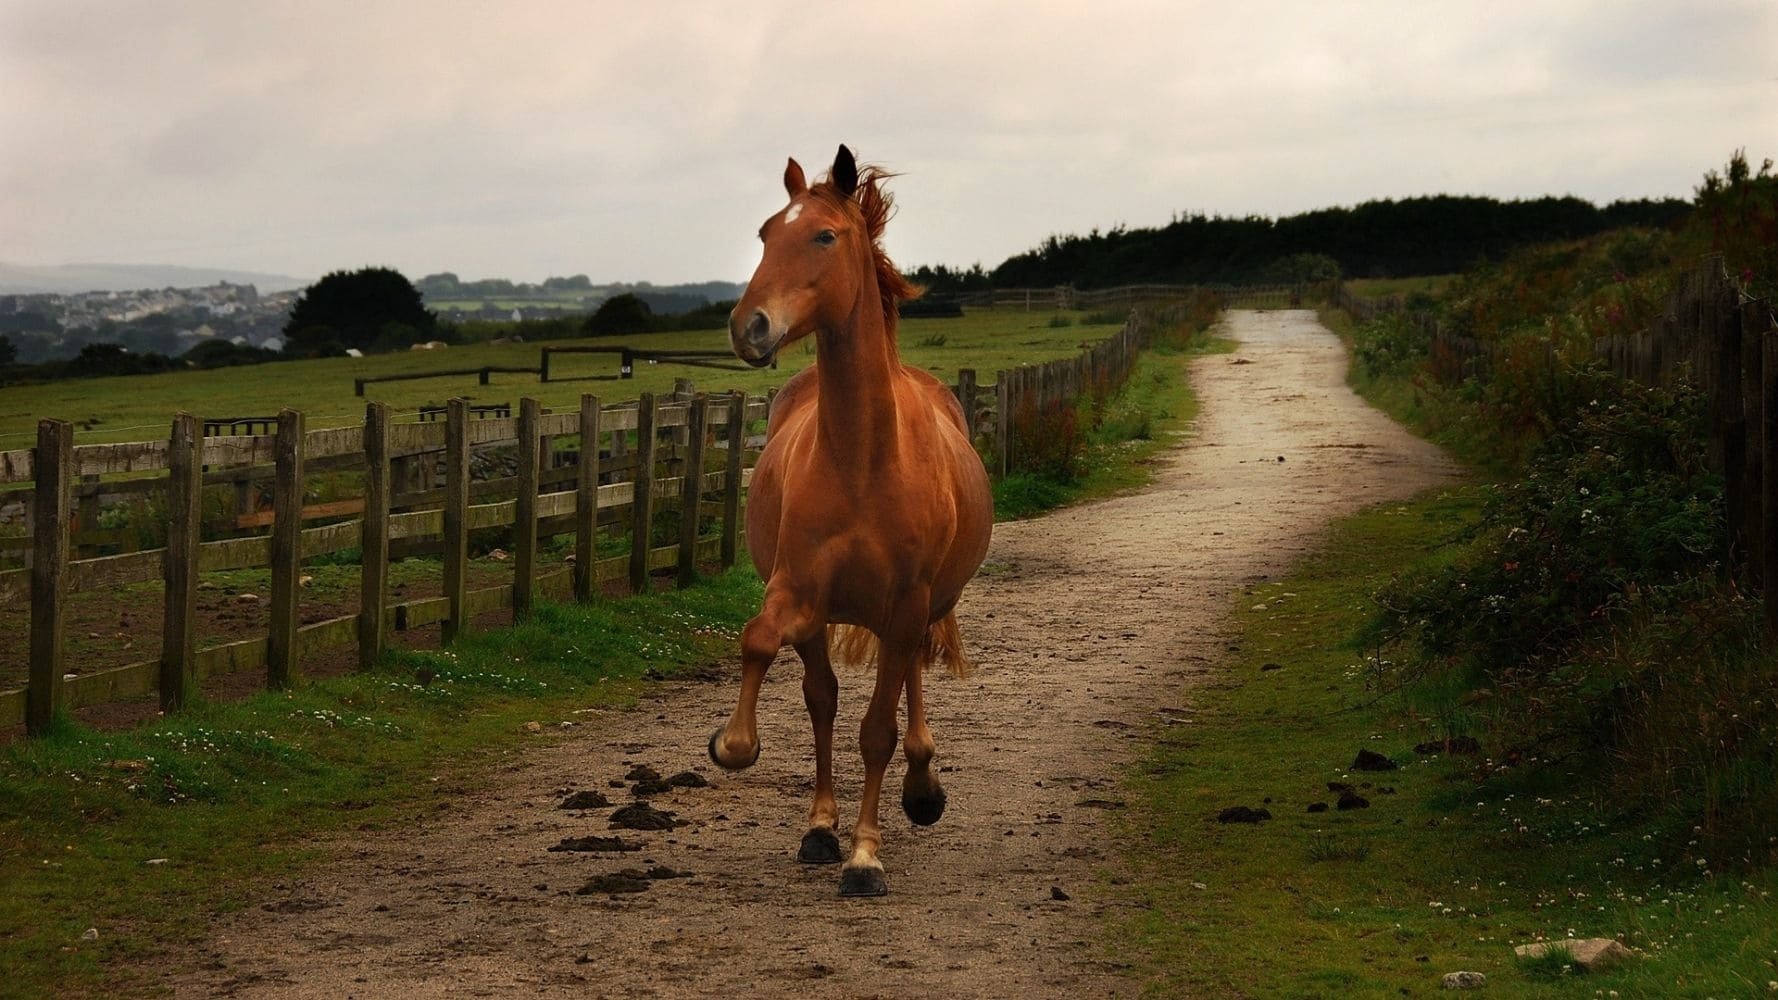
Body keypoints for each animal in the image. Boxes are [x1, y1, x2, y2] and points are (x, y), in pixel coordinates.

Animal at [707, 142, 995, 896]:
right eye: (765, 234)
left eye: (824, 236)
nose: (749, 327)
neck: (865, 459)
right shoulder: (797, 589)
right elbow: (763, 644)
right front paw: (736, 745)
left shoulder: (905, 605)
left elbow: (878, 732)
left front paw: (866, 857)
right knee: (823, 697)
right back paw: (819, 826)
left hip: (927, 607)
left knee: (909, 686)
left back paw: (920, 790)